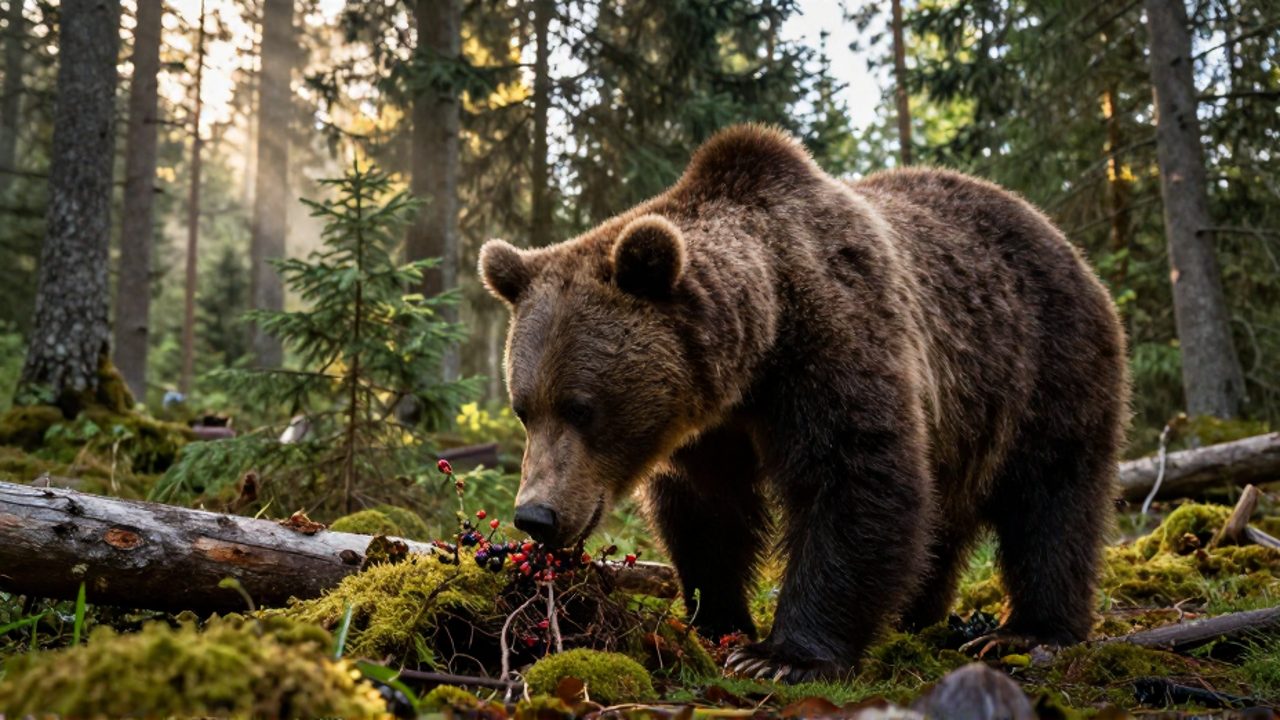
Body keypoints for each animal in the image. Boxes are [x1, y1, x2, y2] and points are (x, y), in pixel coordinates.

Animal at [478, 124, 1128, 683]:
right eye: (524, 408)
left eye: (581, 407)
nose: (536, 516)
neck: (758, 351)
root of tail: (1060, 236)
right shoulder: (708, 428)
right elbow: (707, 512)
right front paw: (716, 620)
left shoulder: (833, 344)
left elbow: (853, 478)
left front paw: (781, 656)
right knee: (946, 520)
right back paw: (916, 614)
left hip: (1045, 362)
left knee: (1051, 497)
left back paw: (1029, 631)